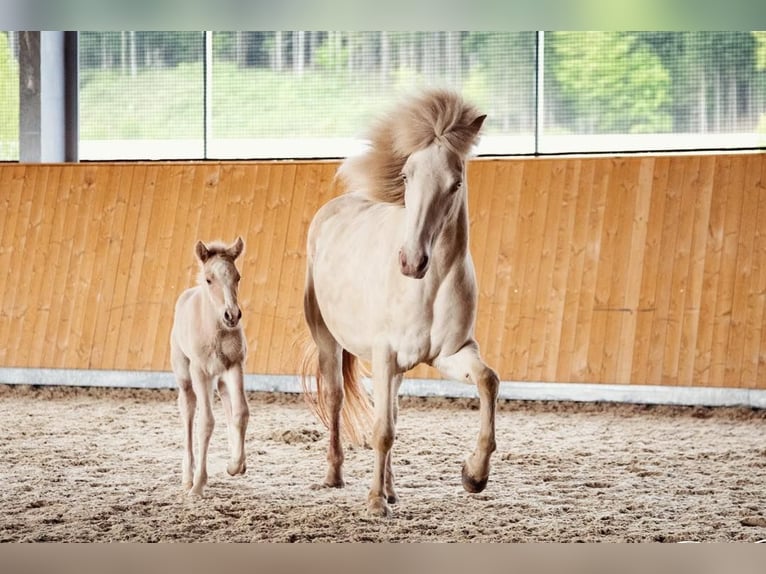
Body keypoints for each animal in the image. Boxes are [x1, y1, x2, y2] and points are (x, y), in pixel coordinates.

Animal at [171, 236, 249, 498]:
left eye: (237, 277)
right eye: (209, 279)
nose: (232, 315)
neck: (215, 329)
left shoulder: (235, 365)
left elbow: (241, 413)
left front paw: (234, 465)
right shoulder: (200, 371)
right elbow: (205, 422)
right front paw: (198, 484)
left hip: (221, 377)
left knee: (227, 403)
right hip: (185, 376)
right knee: (188, 411)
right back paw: (187, 476)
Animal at [304, 89, 500, 516]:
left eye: (456, 182)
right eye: (407, 176)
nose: (412, 261)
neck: (430, 287)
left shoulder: (451, 353)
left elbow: (487, 381)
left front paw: (474, 475)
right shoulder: (384, 354)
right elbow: (382, 430)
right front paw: (376, 502)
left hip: (396, 369)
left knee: (391, 409)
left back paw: (392, 488)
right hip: (329, 340)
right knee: (336, 398)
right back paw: (335, 476)